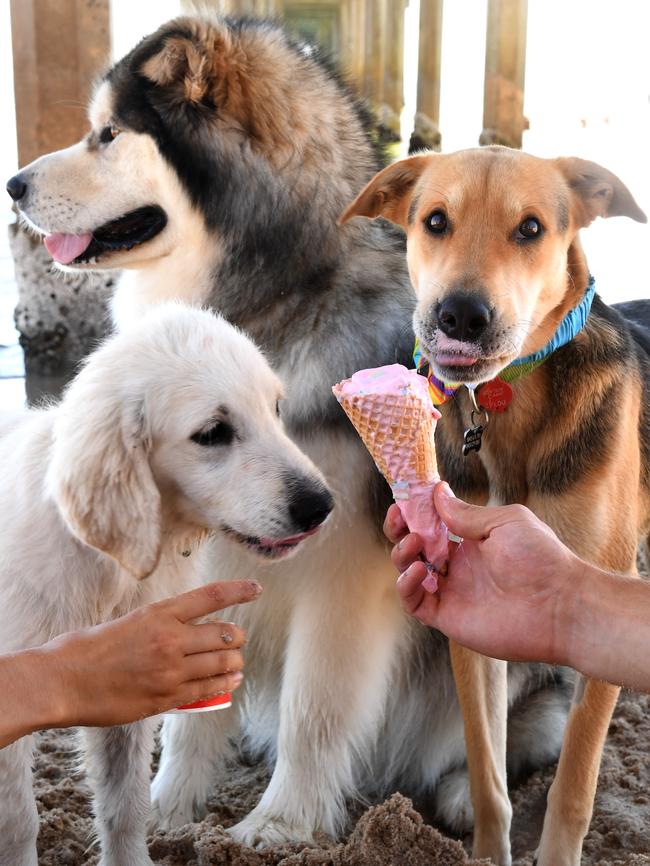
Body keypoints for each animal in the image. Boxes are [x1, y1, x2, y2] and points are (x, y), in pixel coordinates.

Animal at [0, 298, 332, 864]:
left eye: (275, 409)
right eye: (214, 433)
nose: (322, 507)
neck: (108, 570)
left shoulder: (126, 692)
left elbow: (125, 804)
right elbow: (18, 821)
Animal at [342, 148, 644, 864]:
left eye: (531, 229)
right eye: (434, 221)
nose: (460, 315)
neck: (508, 401)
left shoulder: (602, 585)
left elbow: (573, 787)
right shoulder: (476, 618)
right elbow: (486, 771)